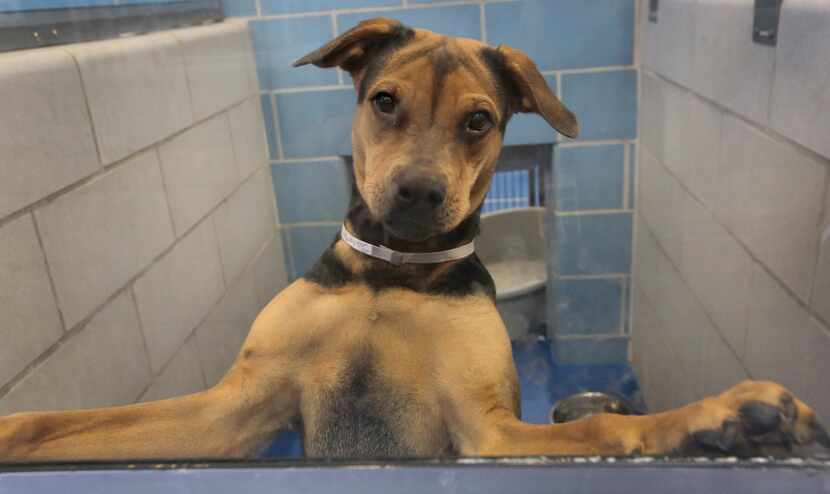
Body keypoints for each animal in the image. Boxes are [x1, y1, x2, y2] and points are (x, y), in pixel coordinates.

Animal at [1, 17, 830, 462]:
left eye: (479, 120)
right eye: (384, 100)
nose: (418, 194)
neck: (391, 276)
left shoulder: (489, 432)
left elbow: (606, 422)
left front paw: (722, 416)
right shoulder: (232, 410)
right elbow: (70, 423)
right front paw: (12, 427)